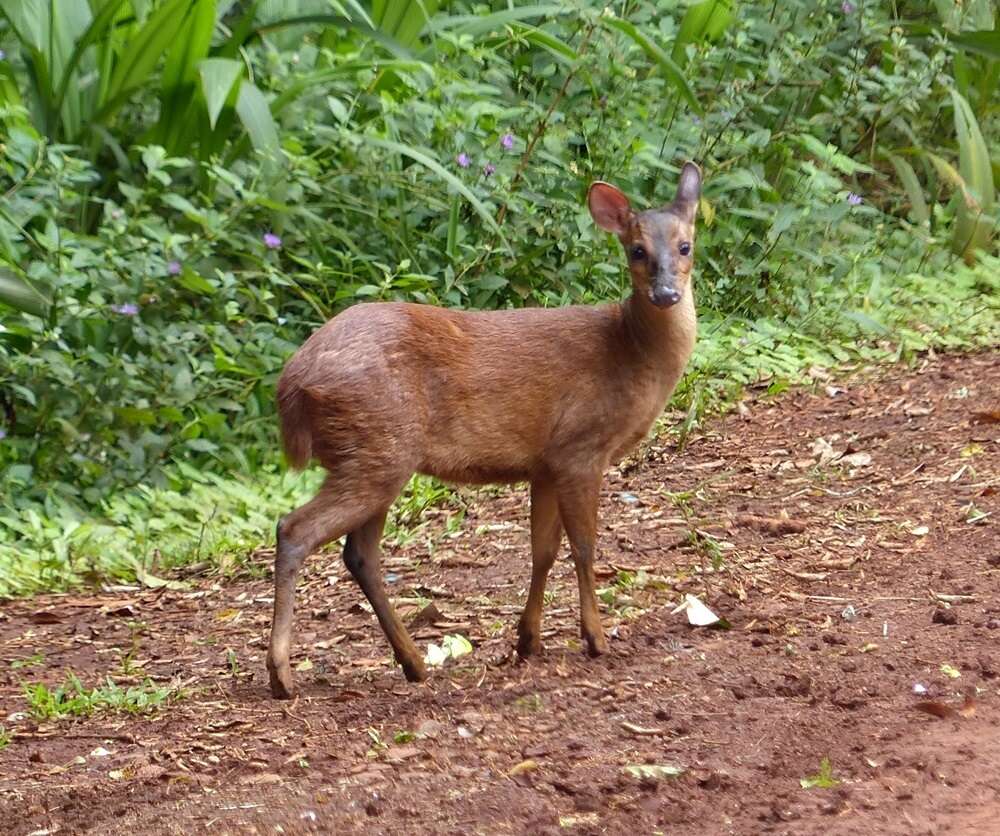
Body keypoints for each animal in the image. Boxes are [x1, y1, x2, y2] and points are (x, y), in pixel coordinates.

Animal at [268, 163, 704, 700]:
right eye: (636, 249)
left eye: (685, 245)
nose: (666, 294)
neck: (630, 352)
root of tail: (292, 385)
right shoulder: (581, 447)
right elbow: (584, 547)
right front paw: (596, 638)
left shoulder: (546, 461)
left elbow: (543, 551)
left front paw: (528, 640)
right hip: (377, 447)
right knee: (295, 529)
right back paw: (282, 674)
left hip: (373, 453)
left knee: (360, 554)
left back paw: (414, 663)